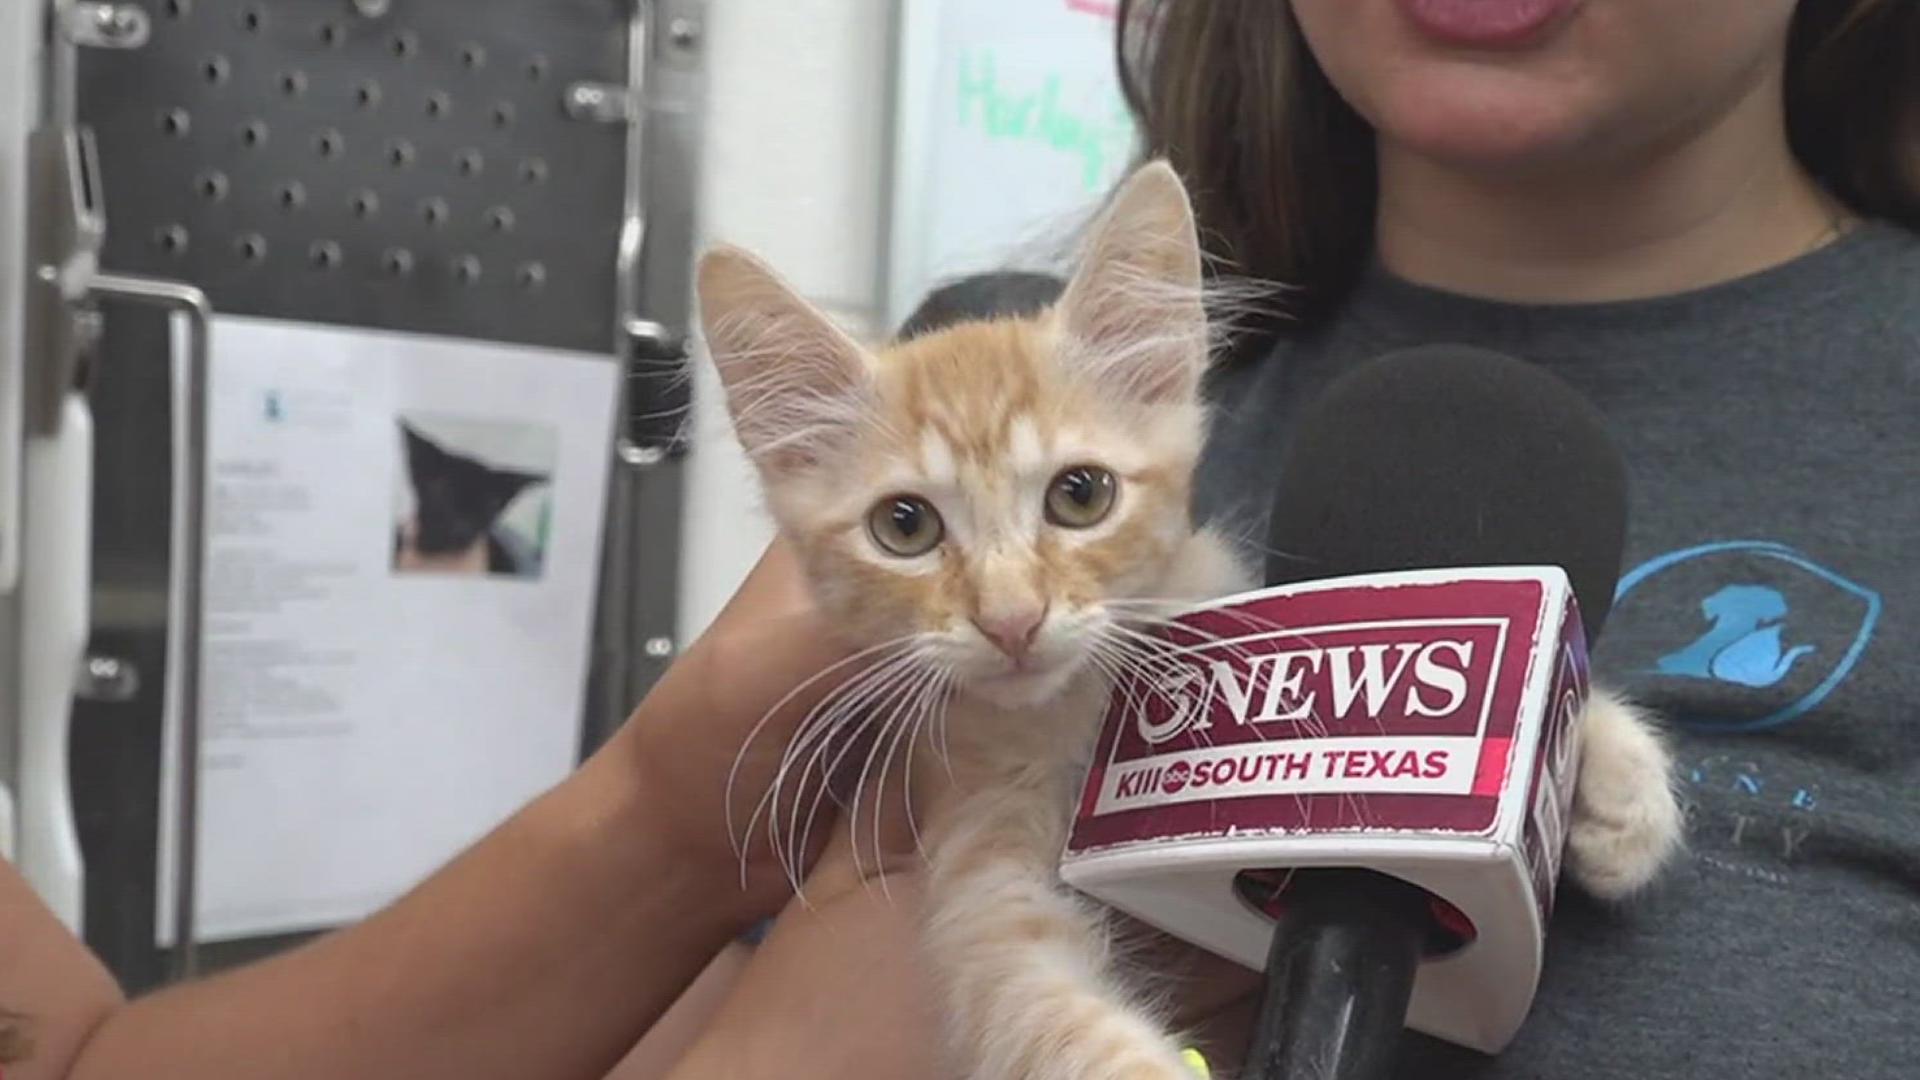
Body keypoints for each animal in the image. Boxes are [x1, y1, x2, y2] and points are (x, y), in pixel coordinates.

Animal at [695, 159, 1681, 1076]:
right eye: (905, 527)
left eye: (1081, 495)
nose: (1011, 619)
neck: (1081, 709)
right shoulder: (980, 858)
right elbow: (1034, 1000)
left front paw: (1610, 768)